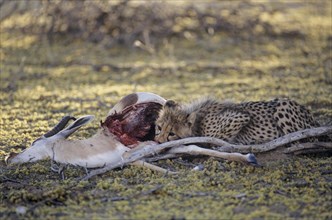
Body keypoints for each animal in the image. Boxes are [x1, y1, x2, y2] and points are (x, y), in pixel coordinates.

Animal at [154, 98, 320, 144]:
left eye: (172, 134)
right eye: (159, 128)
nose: (158, 141)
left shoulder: (239, 117)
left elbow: (218, 137)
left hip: (282, 104)